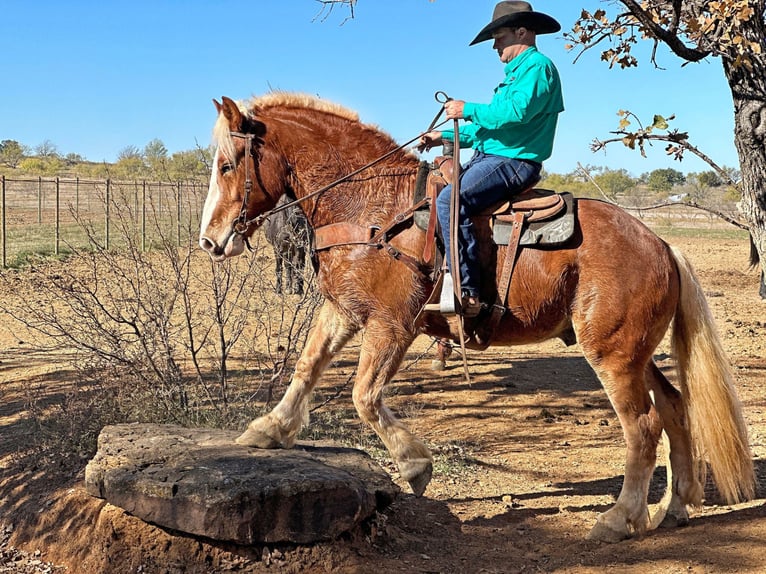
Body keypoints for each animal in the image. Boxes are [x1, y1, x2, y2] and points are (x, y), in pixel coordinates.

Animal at [198, 92, 756, 544]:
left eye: (227, 165)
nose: (210, 241)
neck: (372, 208)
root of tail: (660, 244)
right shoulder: (343, 311)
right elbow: (307, 366)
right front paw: (269, 429)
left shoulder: (392, 326)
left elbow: (363, 395)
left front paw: (414, 465)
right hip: (635, 353)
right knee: (674, 407)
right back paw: (674, 506)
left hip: (613, 356)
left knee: (642, 425)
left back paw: (620, 519)